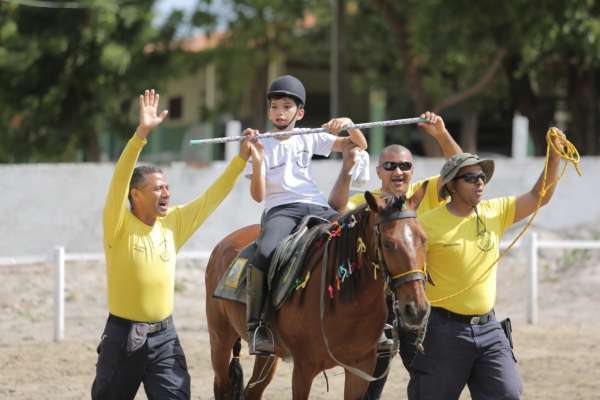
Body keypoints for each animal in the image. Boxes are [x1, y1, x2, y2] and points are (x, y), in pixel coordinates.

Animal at [206, 192, 432, 398]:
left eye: (424, 239)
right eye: (387, 243)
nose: (416, 310)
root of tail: (223, 244)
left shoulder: (361, 368)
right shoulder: (304, 369)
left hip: (268, 356)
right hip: (220, 339)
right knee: (222, 386)